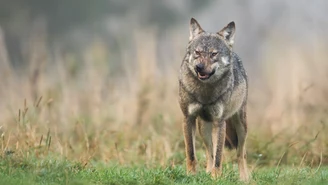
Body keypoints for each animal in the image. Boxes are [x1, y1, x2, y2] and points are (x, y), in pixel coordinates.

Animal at [178, 17, 250, 181]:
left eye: (213, 54)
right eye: (197, 52)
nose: (199, 67)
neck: (204, 92)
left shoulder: (220, 122)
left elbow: (219, 156)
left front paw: (216, 177)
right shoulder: (188, 118)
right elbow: (191, 153)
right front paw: (191, 175)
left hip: (241, 126)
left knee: (240, 153)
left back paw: (244, 178)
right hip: (203, 128)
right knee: (209, 152)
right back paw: (207, 172)